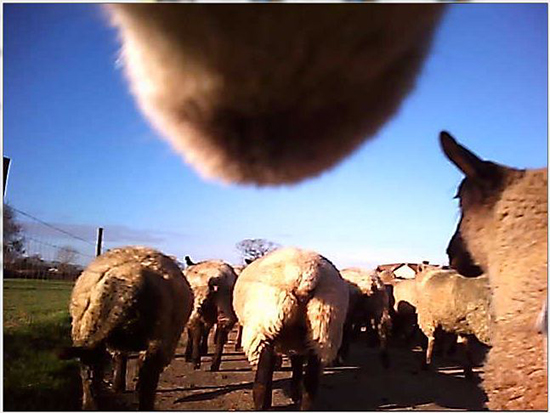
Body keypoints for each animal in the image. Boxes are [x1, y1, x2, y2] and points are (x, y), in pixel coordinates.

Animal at [234, 245, 350, 408]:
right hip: (323, 328)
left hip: (264, 327)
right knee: (311, 385)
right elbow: (297, 365)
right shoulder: (298, 343)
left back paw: (263, 405)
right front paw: (295, 394)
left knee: (261, 382)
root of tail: (306, 273)